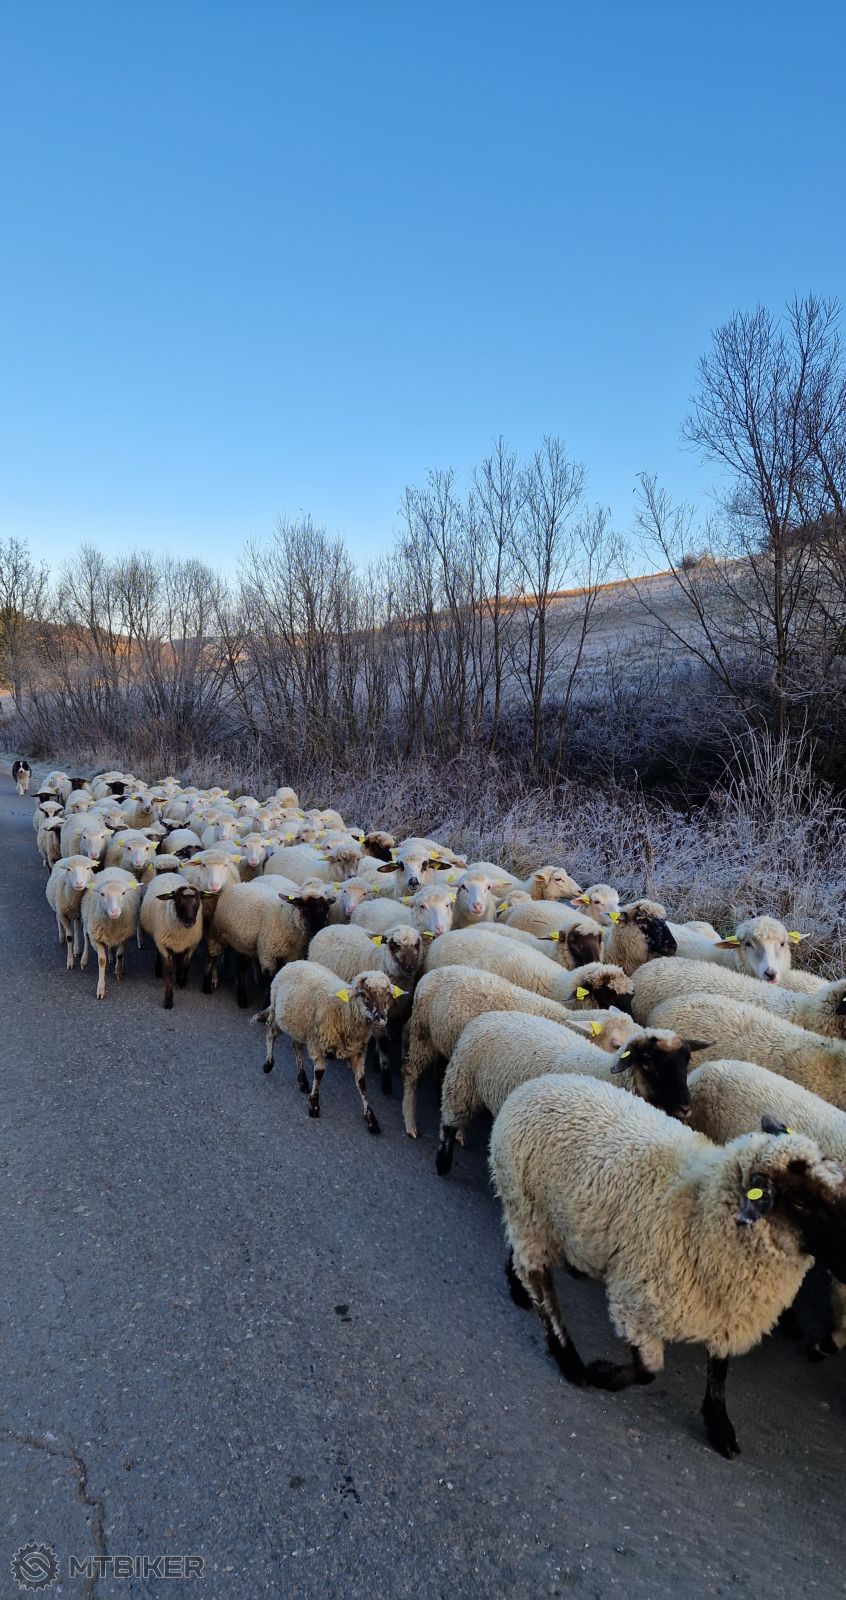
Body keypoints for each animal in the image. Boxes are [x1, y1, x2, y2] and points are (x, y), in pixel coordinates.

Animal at [79, 867, 141, 1000]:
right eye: (102, 894)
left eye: (123, 893)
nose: (114, 911)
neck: (113, 925)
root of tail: (113, 868)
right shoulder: (96, 939)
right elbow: (101, 960)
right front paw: (100, 989)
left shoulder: (125, 936)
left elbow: (120, 954)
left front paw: (118, 971)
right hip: (87, 918)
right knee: (85, 936)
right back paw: (84, 960)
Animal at [140, 872, 210, 1008]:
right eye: (178, 899)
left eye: (198, 899)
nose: (190, 921)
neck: (181, 931)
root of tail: (168, 872)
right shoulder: (163, 944)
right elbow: (169, 969)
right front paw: (168, 999)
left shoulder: (191, 943)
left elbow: (186, 963)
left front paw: (182, 981)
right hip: (158, 936)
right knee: (158, 952)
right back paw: (158, 969)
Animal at [208, 878, 336, 1005]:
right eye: (306, 909)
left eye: (326, 910)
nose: (321, 929)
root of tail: (239, 884)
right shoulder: (268, 954)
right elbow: (270, 981)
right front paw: (266, 1004)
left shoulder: (292, 956)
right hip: (218, 934)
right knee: (212, 956)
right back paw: (208, 985)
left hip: (242, 942)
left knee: (241, 967)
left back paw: (243, 998)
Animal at [253, 961, 395, 1132]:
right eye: (363, 994)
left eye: (388, 994)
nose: (381, 1018)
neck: (344, 1011)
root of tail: (294, 962)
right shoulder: (317, 1044)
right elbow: (319, 1074)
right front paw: (314, 1106)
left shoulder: (358, 1052)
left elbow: (362, 1083)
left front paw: (371, 1119)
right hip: (276, 1010)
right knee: (271, 1035)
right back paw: (268, 1064)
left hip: (300, 1026)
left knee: (297, 1046)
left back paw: (302, 1080)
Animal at [309, 922, 424, 1094]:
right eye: (393, 945)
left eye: (416, 944)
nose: (410, 968)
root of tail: (329, 926)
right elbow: (383, 1043)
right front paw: (386, 1081)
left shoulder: (390, 1013)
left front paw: (377, 1062)